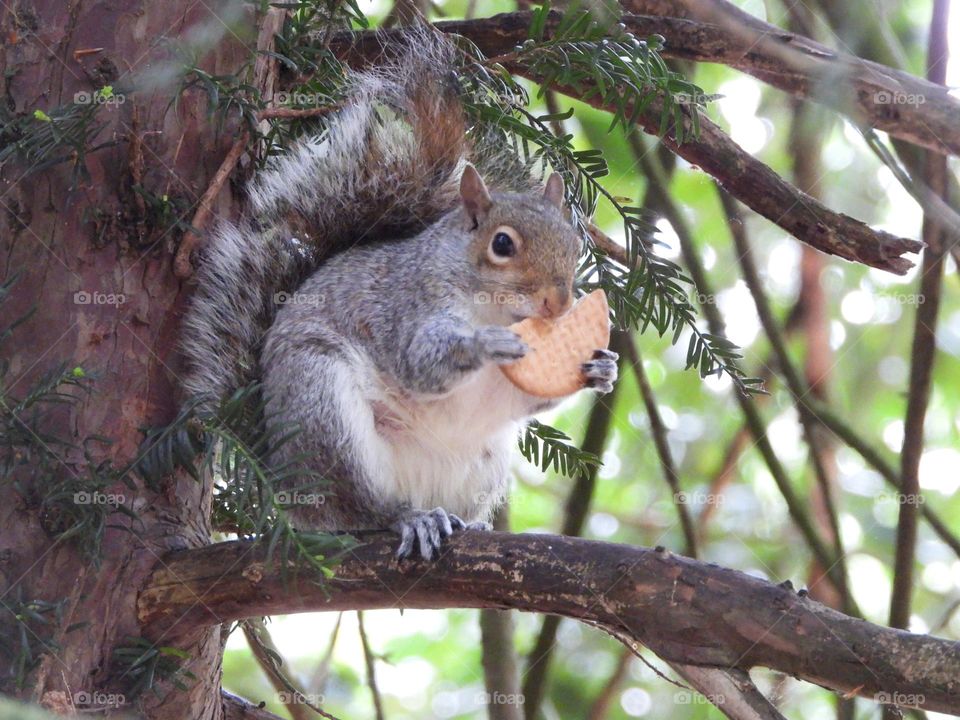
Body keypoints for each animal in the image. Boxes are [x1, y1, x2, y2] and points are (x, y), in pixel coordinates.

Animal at [180, 33, 618, 560]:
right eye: (502, 244)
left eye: (574, 244)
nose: (560, 304)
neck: (487, 305)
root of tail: (284, 480)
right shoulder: (406, 304)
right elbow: (419, 361)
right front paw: (484, 344)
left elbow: (524, 394)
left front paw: (602, 366)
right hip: (324, 406)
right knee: (360, 511)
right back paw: (409, 519)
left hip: (482, 464)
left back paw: (468, 524)